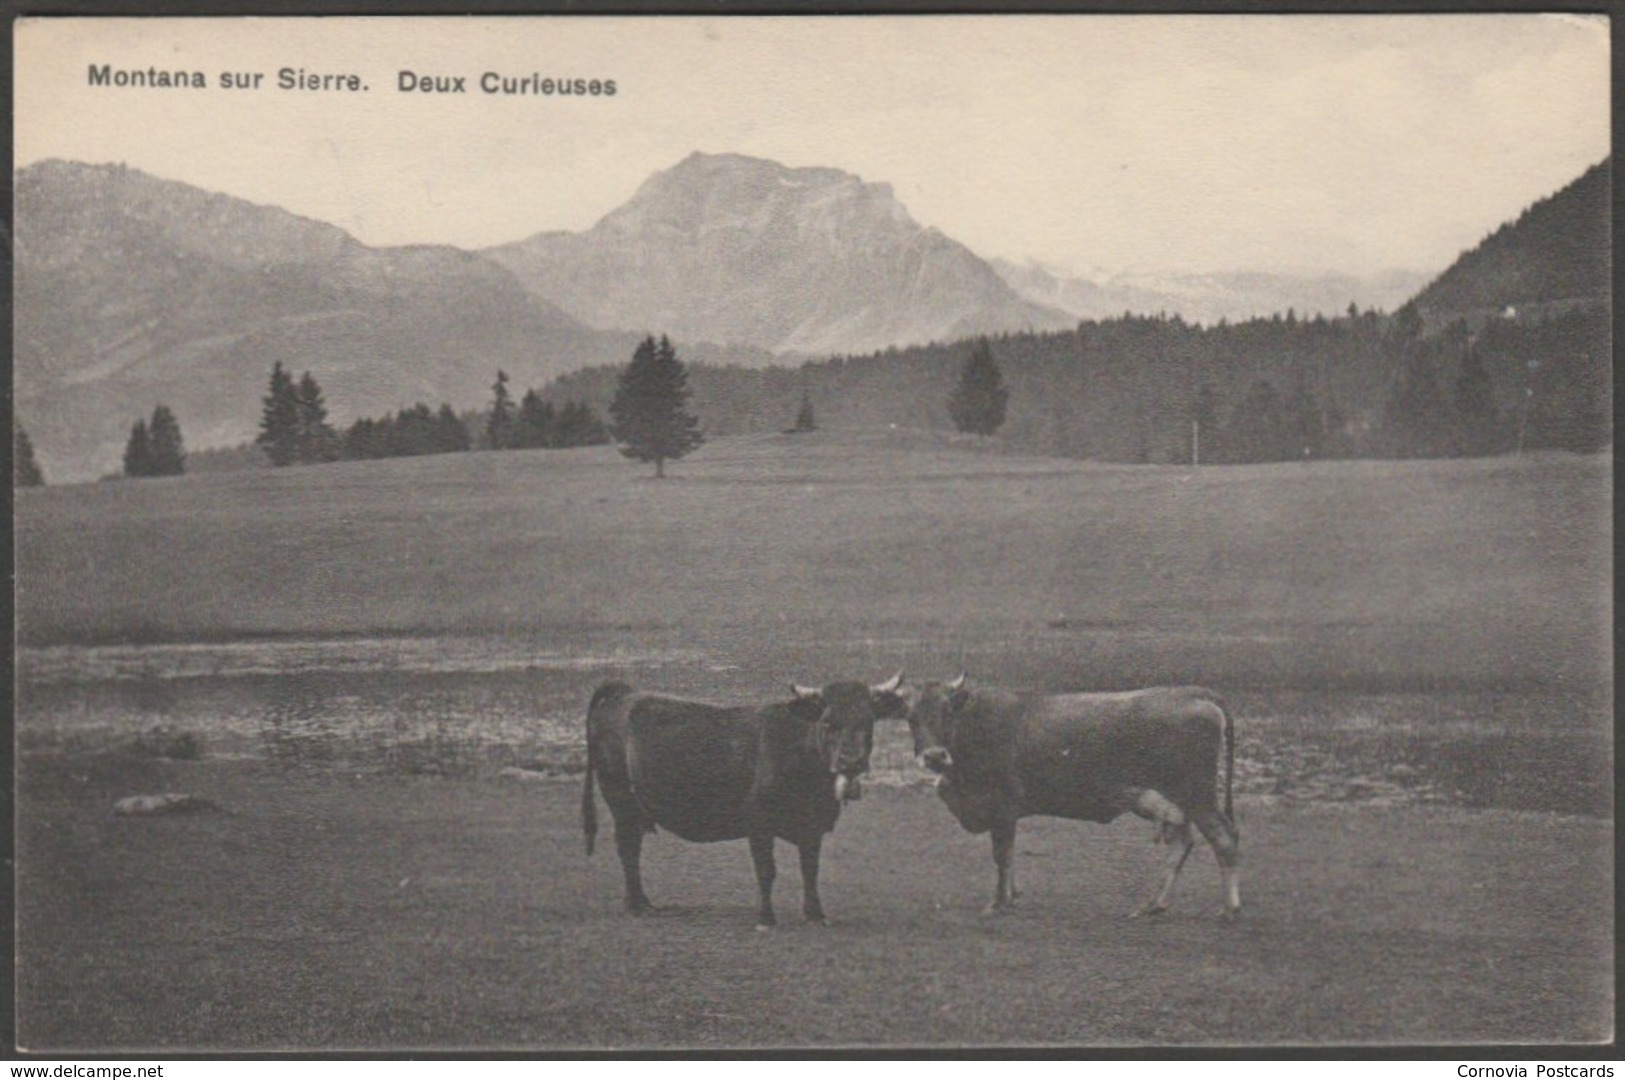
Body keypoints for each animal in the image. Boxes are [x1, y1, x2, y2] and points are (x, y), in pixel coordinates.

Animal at [585, 669, 916, 922]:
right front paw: (765, 916)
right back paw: (635, 904)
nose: (851, 762)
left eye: (868, 722)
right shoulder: (759, 823)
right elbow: (766, 870)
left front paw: (815, 913)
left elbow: (810, 870)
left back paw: (644, 902)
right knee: (628, 849)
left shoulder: (812, 827)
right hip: (620, 801)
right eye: (827, 723)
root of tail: (625, 693)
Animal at [910, 678, 1235, 915]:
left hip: (1198, 796)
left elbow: (1002, 855)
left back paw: (1229, 909)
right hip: (1174, 802)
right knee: (1182, 843)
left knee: (1224, 839)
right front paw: (1012, 897)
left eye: (946, 712)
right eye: (912, 718)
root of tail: (1194, 692)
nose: (934, 756)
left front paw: (999, 902)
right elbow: (1010, 855)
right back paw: (1154, 905)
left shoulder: (1002, 807)